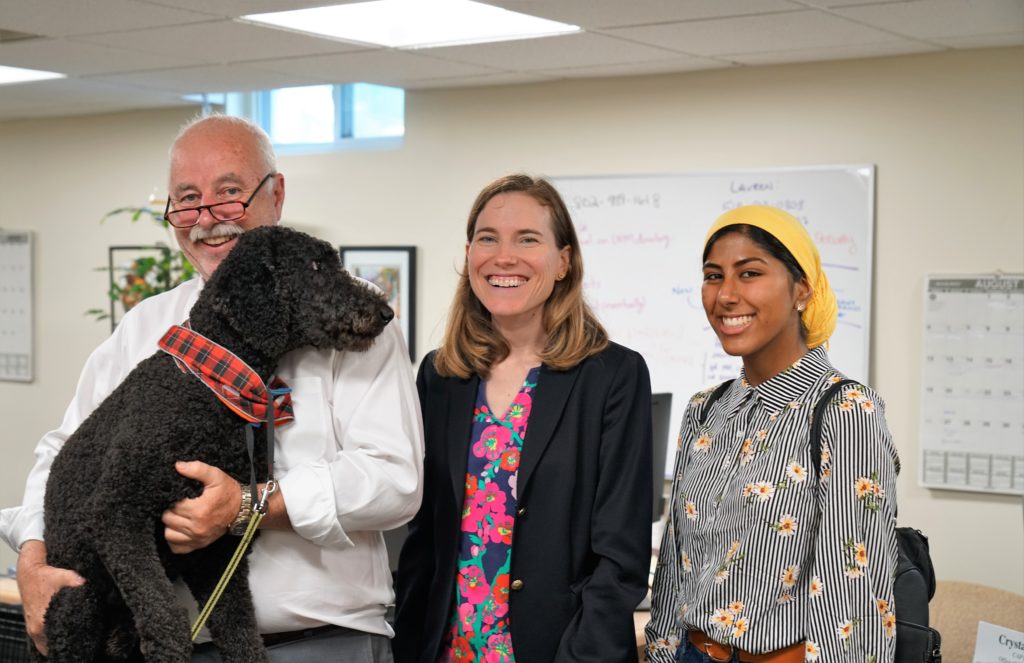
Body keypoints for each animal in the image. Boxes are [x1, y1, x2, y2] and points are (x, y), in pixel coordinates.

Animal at [37, 226, 395, 663]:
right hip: (77, 598)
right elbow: (165, 617)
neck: (216, 383)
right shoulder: (117, 513)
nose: (387, 312)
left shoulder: (216, 549)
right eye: (315, 266)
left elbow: (238, 624)